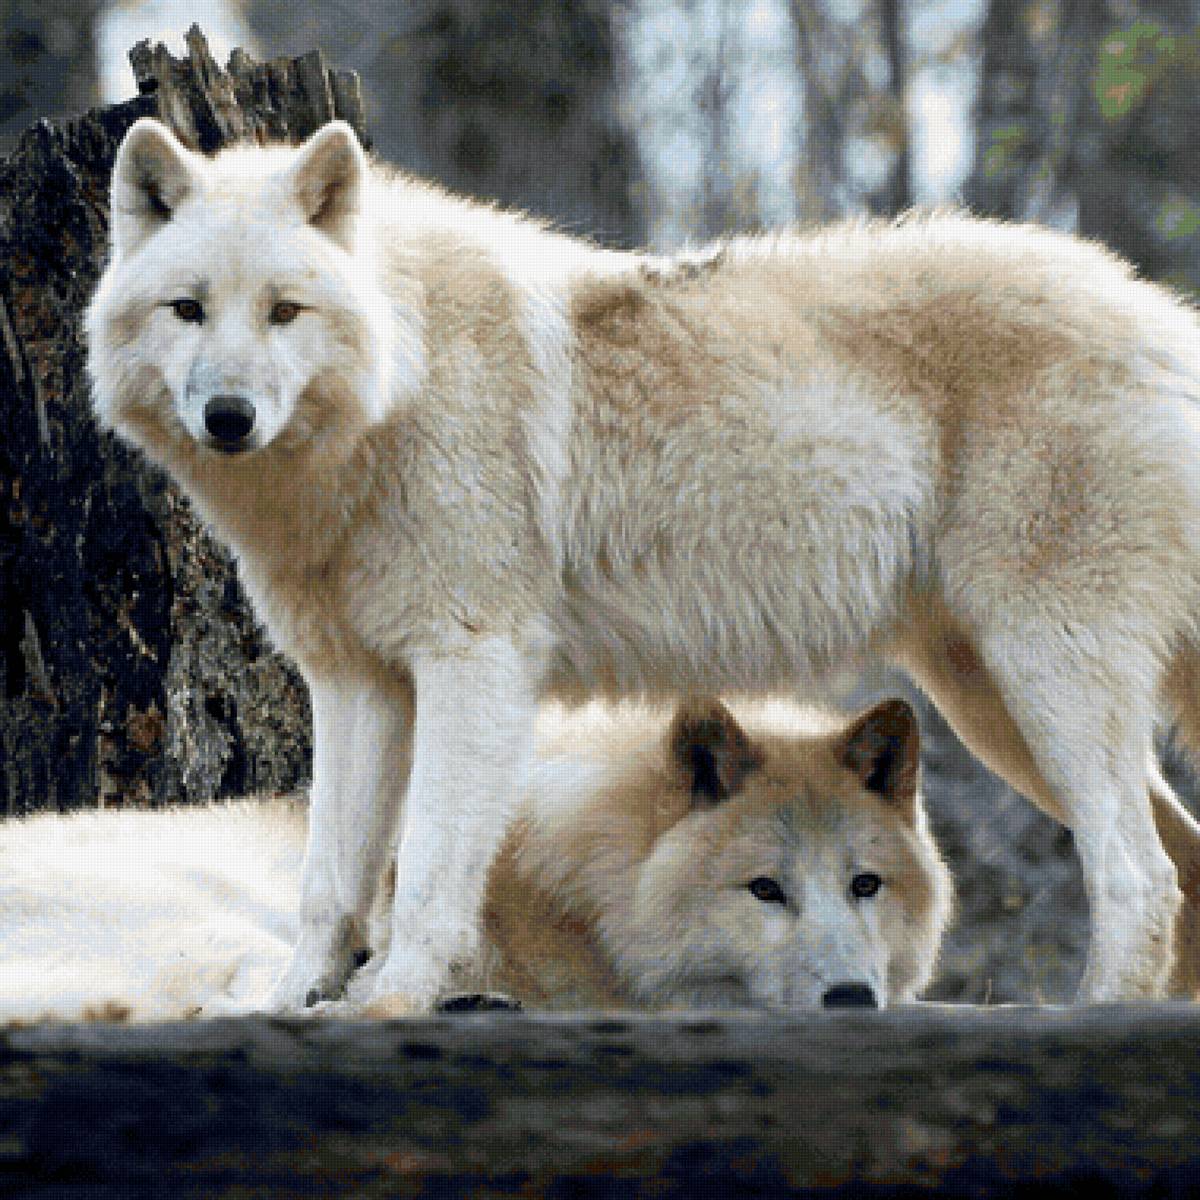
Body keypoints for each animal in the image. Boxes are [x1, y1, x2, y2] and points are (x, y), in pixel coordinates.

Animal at [86, 117, 1200, 1010]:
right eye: (188, 309)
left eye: (285, 311)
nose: (229, 416)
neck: (404, 383)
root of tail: (1164, 315)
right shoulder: (357, 683)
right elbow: (330, 884)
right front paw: (293, 1003)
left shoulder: (475, 665)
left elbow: (434, 870)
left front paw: (395, 1001)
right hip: (993, 702)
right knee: (1177, 862)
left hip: (1043, 677)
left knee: (1139, 875)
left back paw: (1094, 1013)